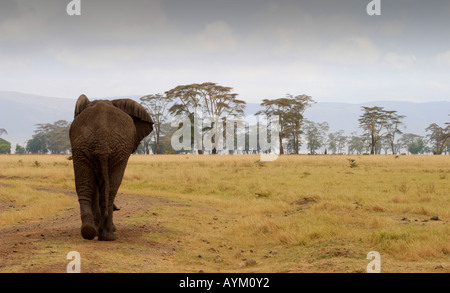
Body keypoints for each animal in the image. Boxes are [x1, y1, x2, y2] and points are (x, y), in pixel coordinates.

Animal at [69, 94, 154, 240]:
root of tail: (102, 140)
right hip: (118, 151)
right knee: (111, 188)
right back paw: (108, 236)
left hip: (81, 147)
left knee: (85, 186)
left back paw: (89, 231)